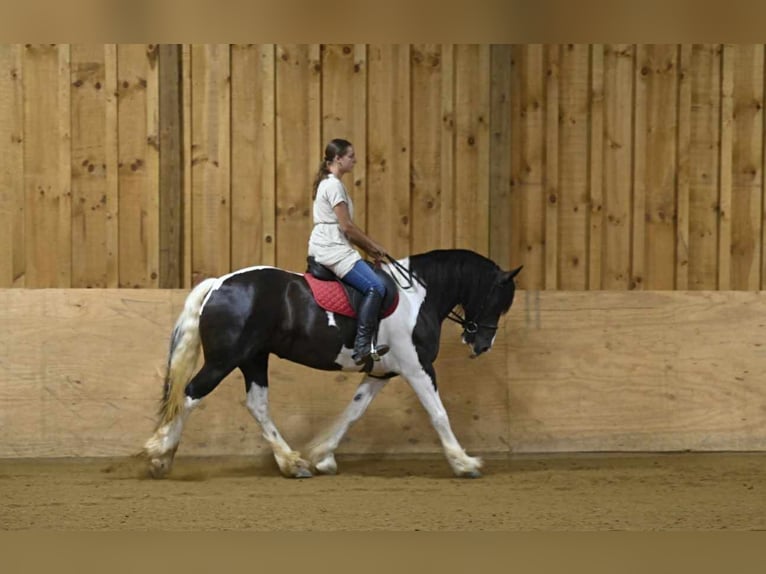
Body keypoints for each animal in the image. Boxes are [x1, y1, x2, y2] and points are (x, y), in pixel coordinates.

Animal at [142, 250, 520, 480]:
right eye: (498, 300)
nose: (482, 345)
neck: (418, 296)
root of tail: (219, 283)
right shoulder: (418, 368)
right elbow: (439, 413)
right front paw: (464, 462)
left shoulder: (381, 372)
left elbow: (354, 412)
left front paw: (323, 456)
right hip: (225, 359)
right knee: (191, 394)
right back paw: (161, 453)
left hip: (253, 358)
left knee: (256, 405)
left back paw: (292, 462)